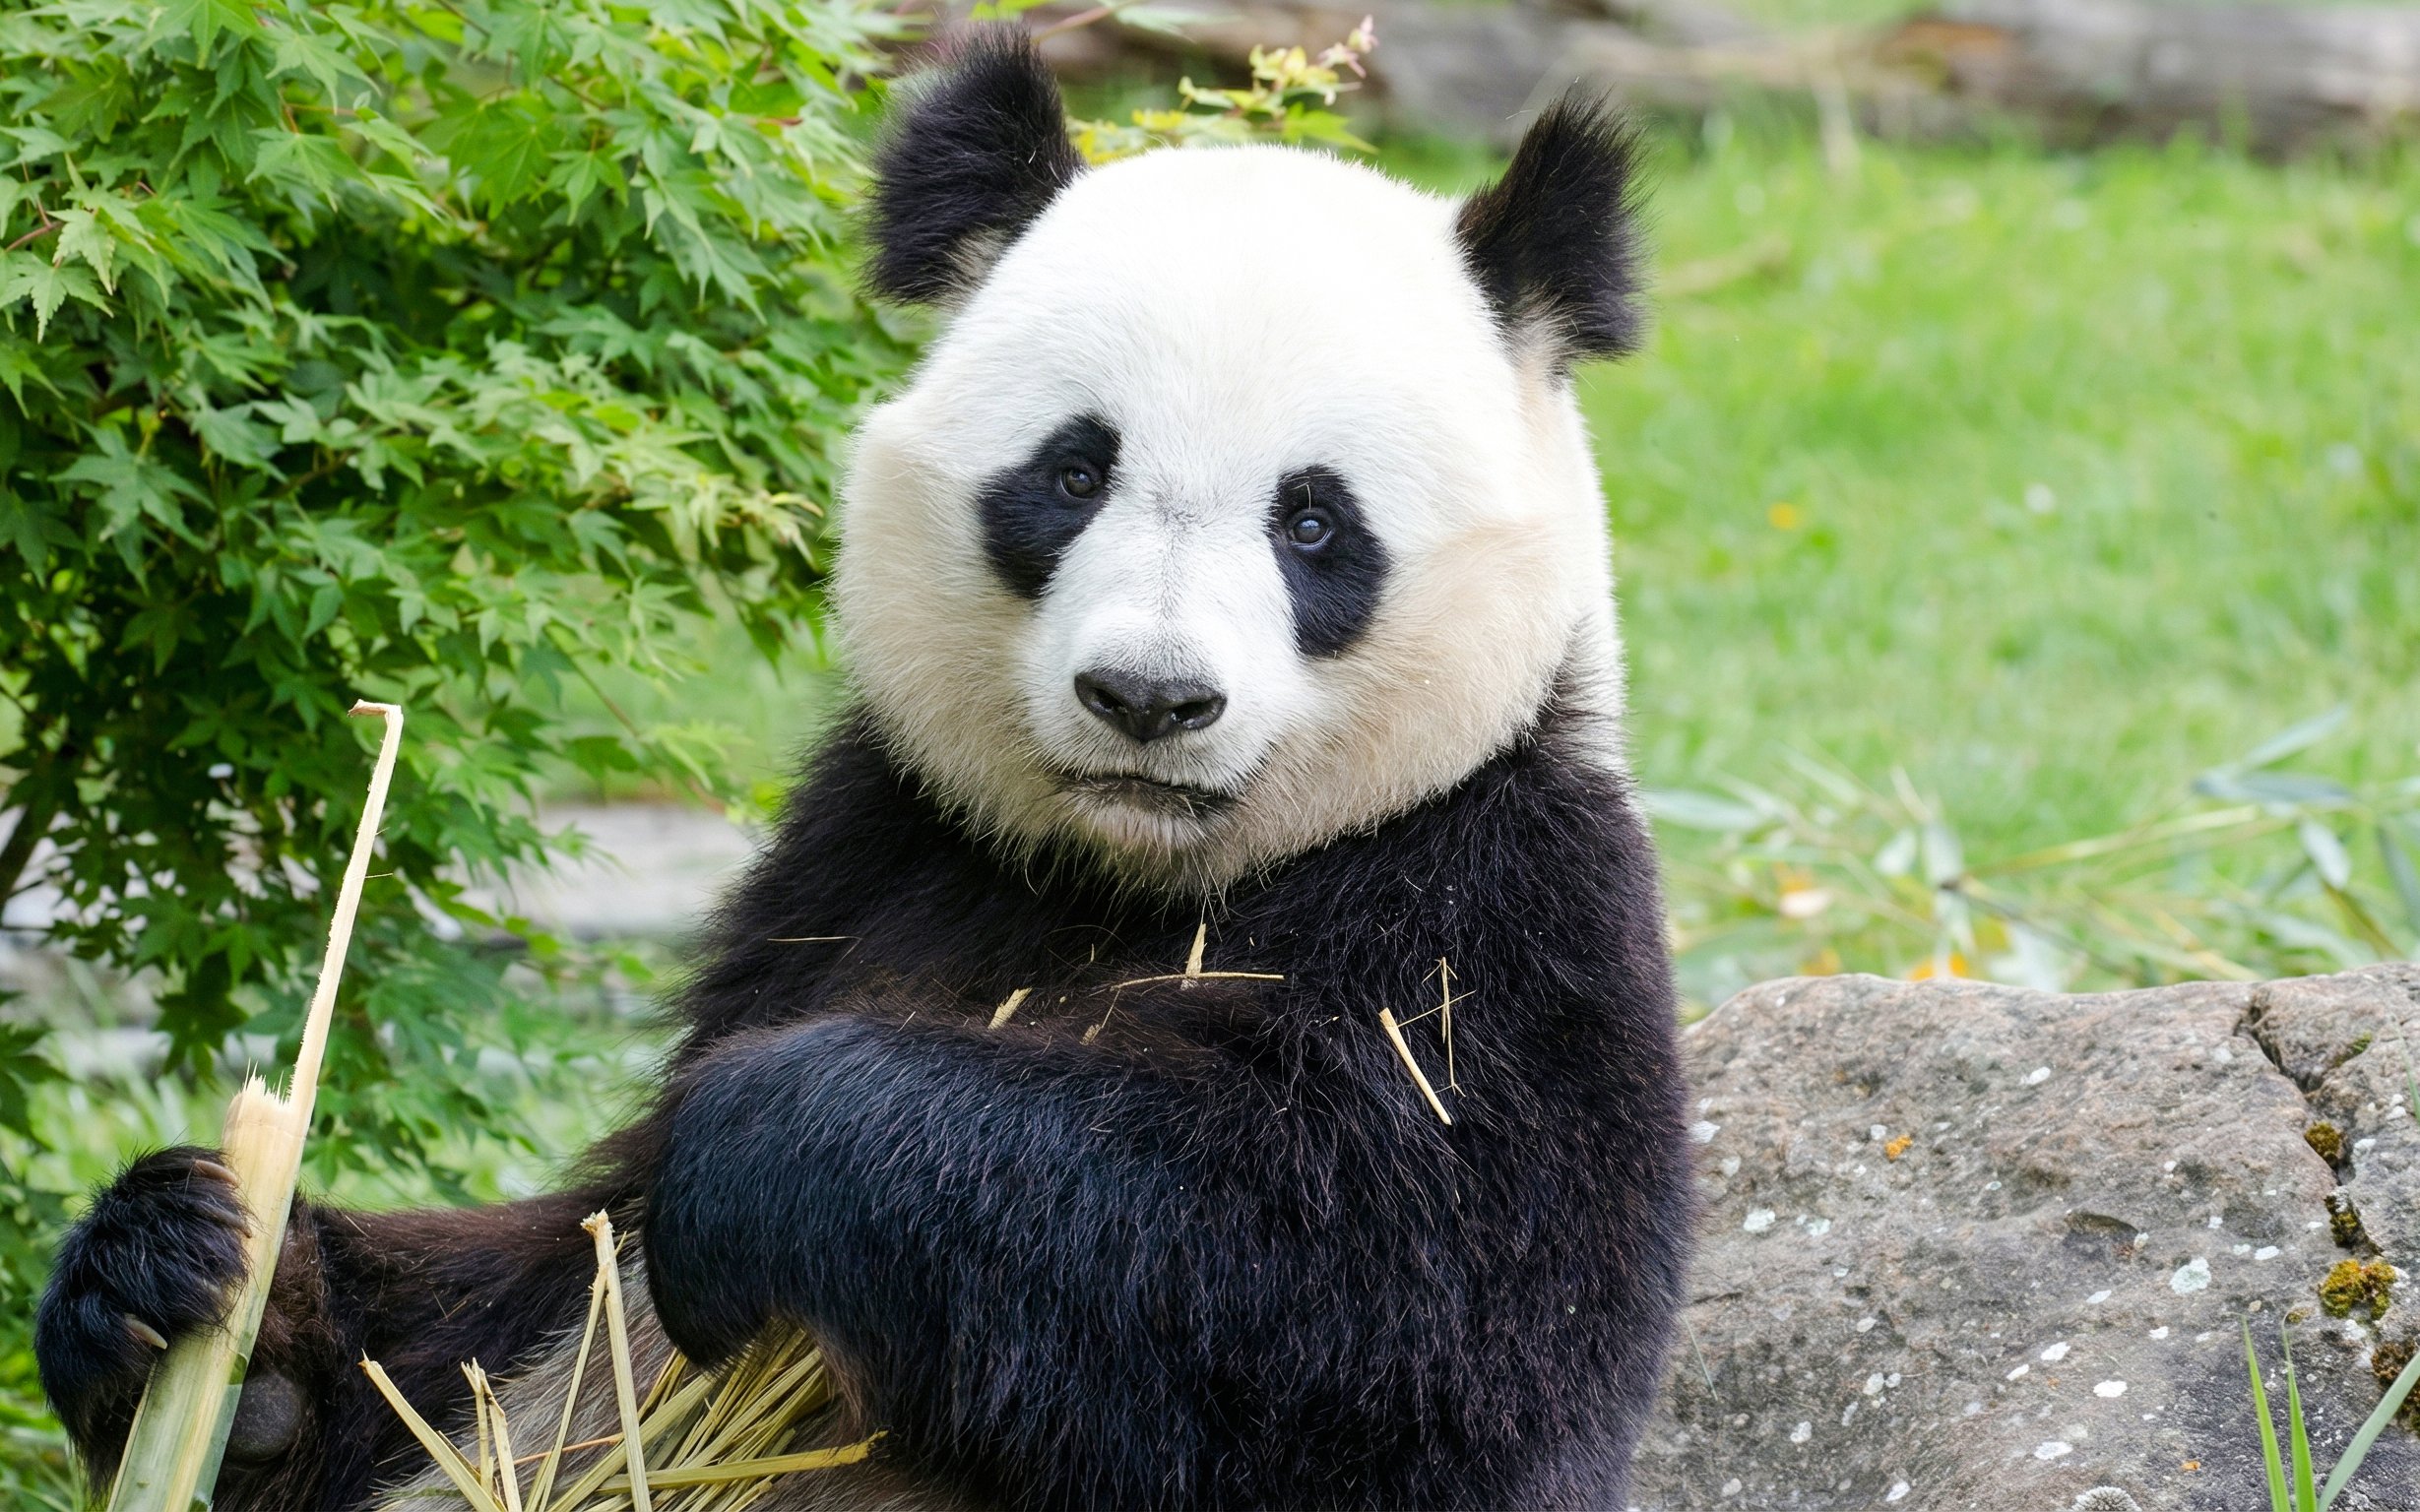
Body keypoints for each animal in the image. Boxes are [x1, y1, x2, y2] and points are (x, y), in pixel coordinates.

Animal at [35, 31, 1692, 1512]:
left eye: (1312, 522)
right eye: (1071, 472)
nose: (1147, 699)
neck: (1134, 881)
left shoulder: (1498, 913)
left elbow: (1391, 1333)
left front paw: (769, 1159)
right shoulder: (869, 855)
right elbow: (511, 1308)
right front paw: (184, 1288)